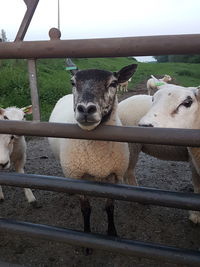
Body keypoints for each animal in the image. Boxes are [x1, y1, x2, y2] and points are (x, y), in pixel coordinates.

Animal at [48, 64, 138, 241]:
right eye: (73, 82)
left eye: (113, 83)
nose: (85, 109)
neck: (97, 160)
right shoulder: (77, 176)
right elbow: (86, 209)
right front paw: (87, 234)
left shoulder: (115, 177)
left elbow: (110, 208)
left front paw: (112, 232)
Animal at [118, 85, 200, 224]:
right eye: (153, 99)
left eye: (187, 102)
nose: (144, 127)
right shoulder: (193, 159)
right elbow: (197, 184)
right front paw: (196, 215)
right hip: (131, 146)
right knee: (128, 173)